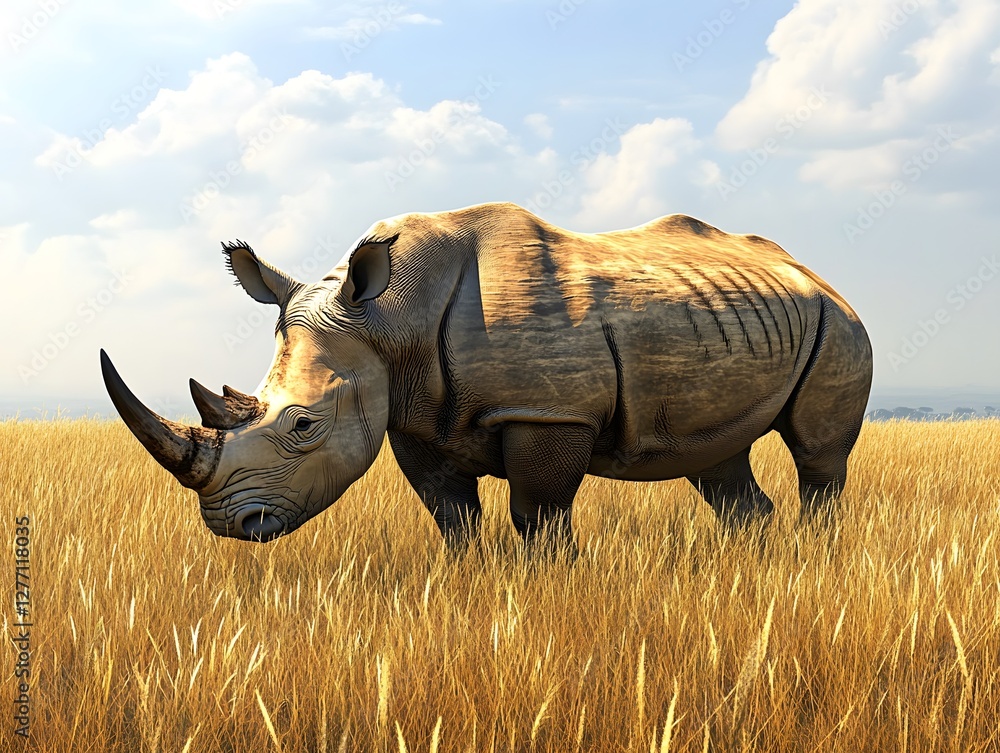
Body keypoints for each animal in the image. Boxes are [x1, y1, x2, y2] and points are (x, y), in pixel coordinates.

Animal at [101, 202, 872, 545]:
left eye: (303, 425)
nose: (232, 525)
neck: (389, 319)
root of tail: (812, 273)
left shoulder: (548, 411)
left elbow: (538, 514)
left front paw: (549, 588)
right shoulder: (412, 412)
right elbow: (451, 514)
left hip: (839, 325)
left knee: (818, 455)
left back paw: (815, 555)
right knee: (720, 462)